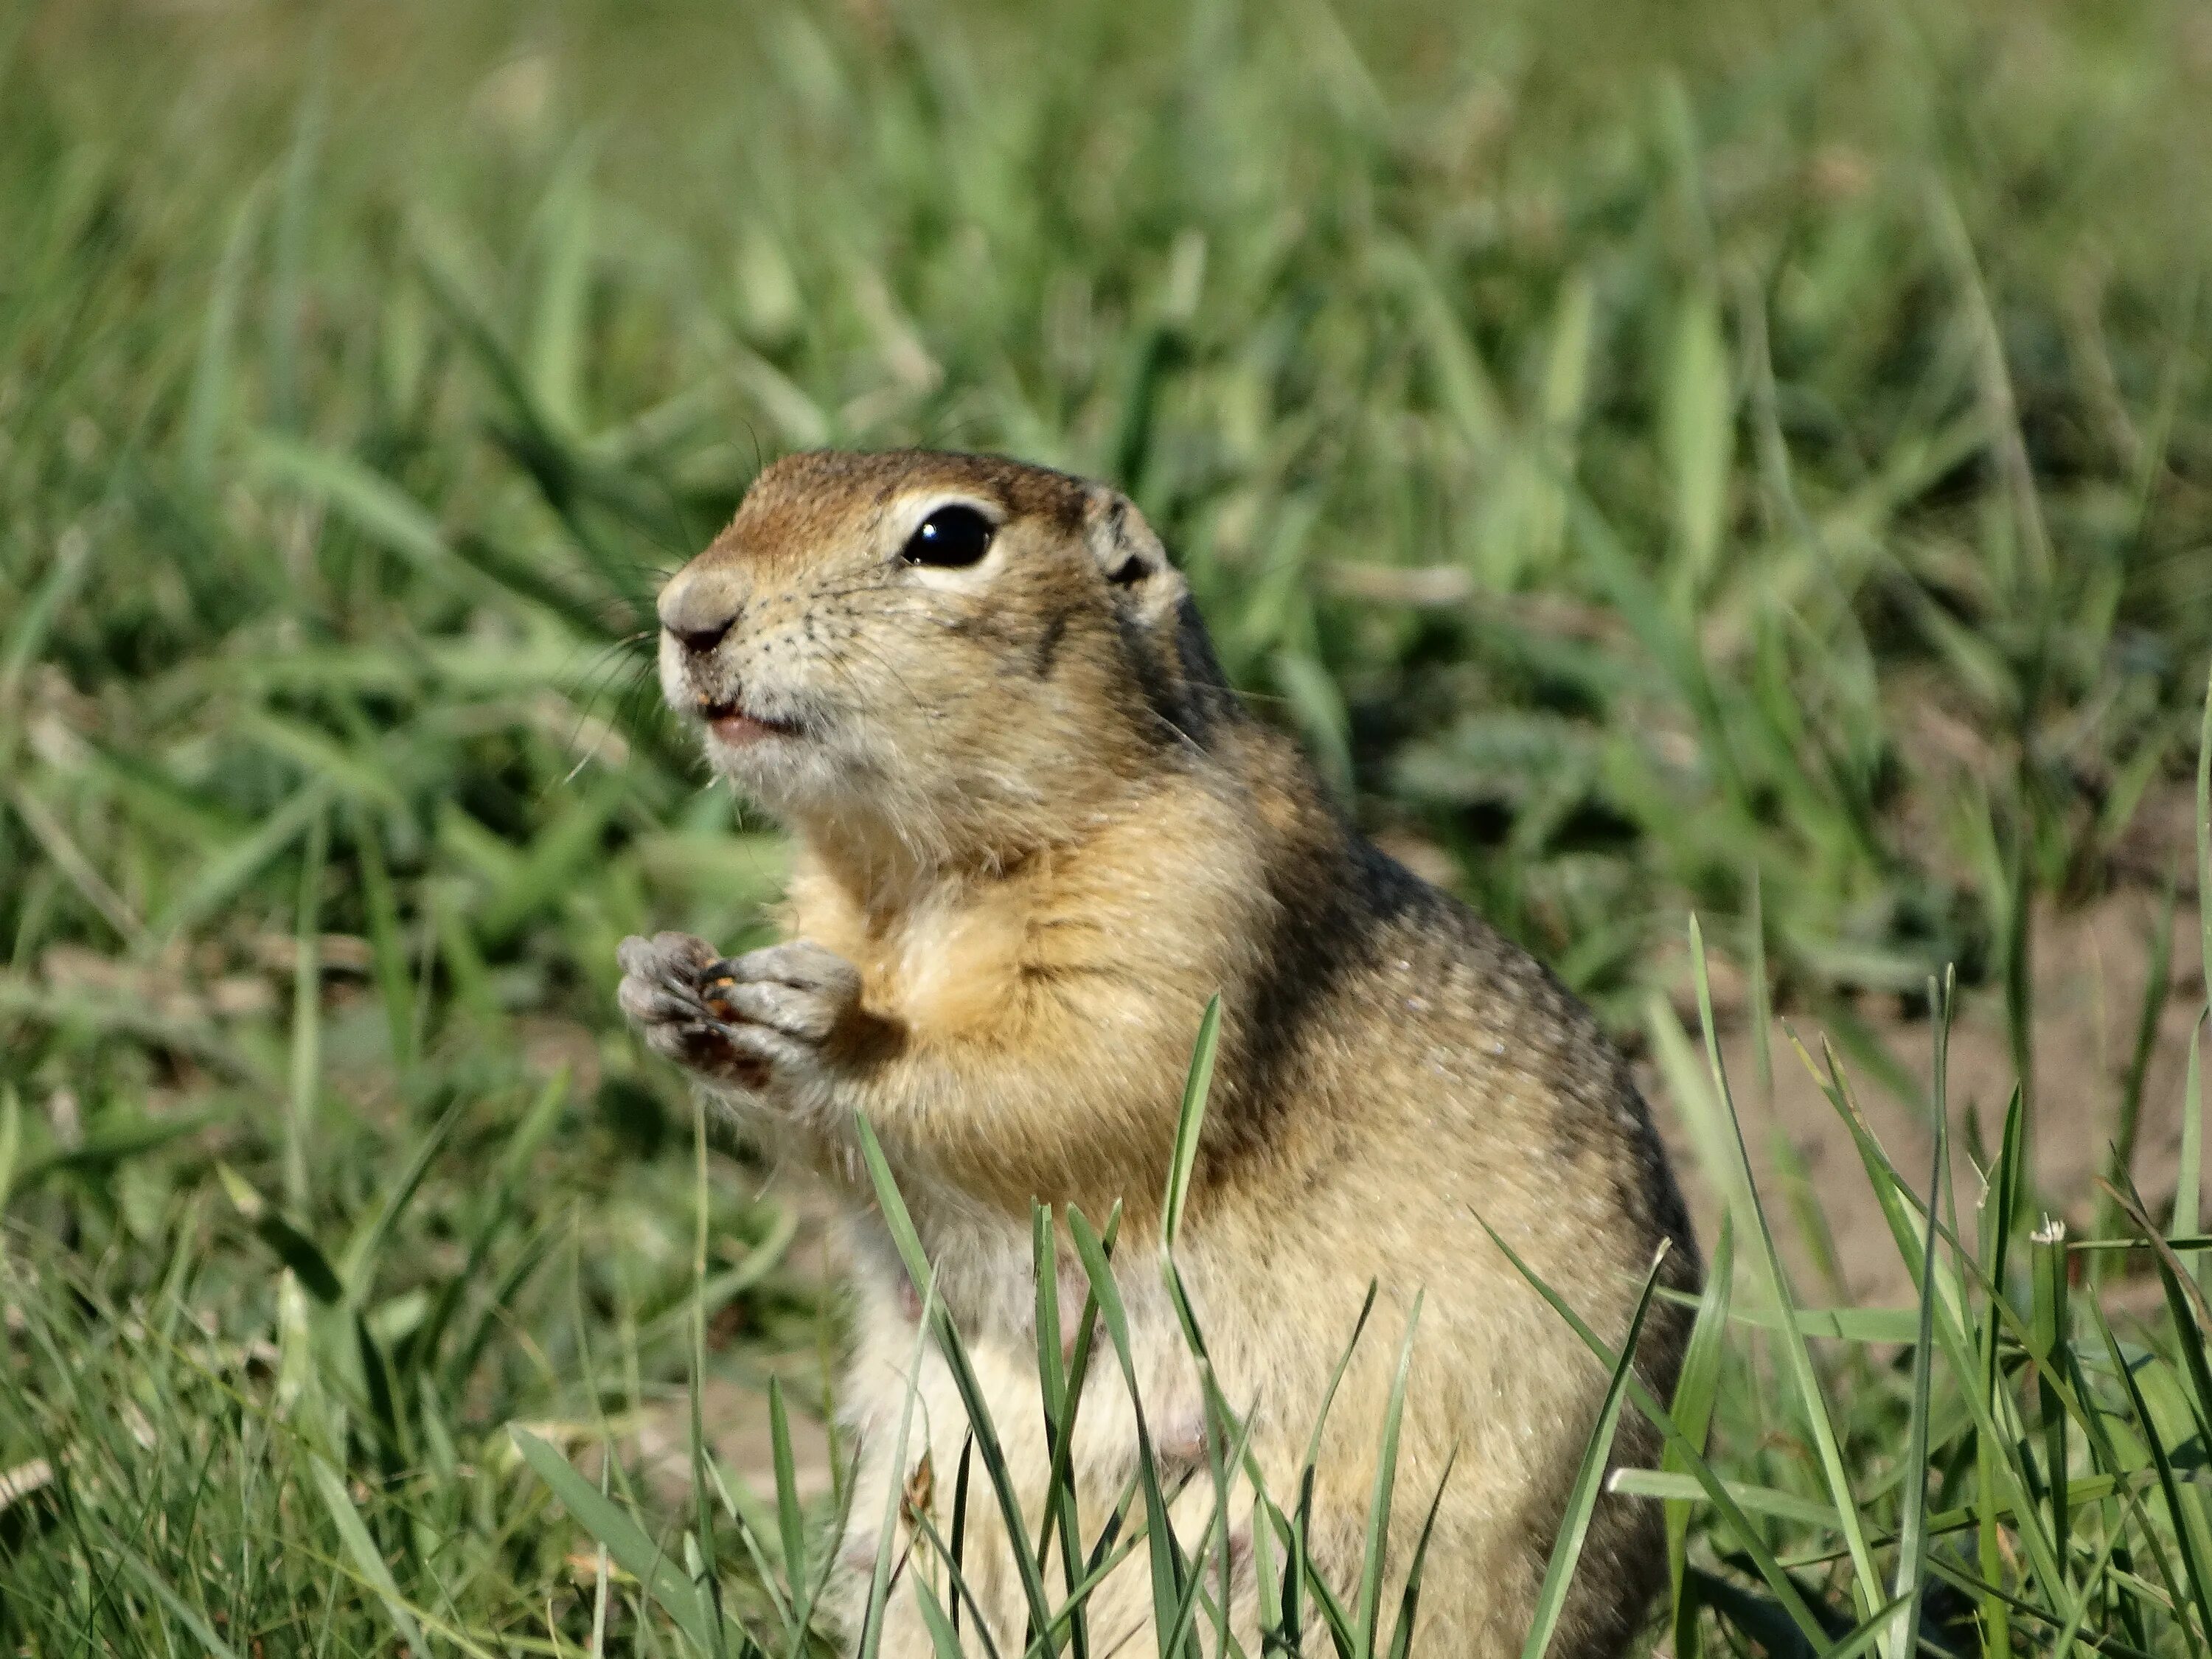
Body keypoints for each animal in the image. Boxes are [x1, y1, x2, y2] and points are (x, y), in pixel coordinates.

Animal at [615, 449, 1699, 1655]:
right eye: (762, 485)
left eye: (950, 538)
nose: (689, 612)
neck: (917, 877)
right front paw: (658, 977)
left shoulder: (1184, 913)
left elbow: (1072, 1082)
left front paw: (822, 1023)